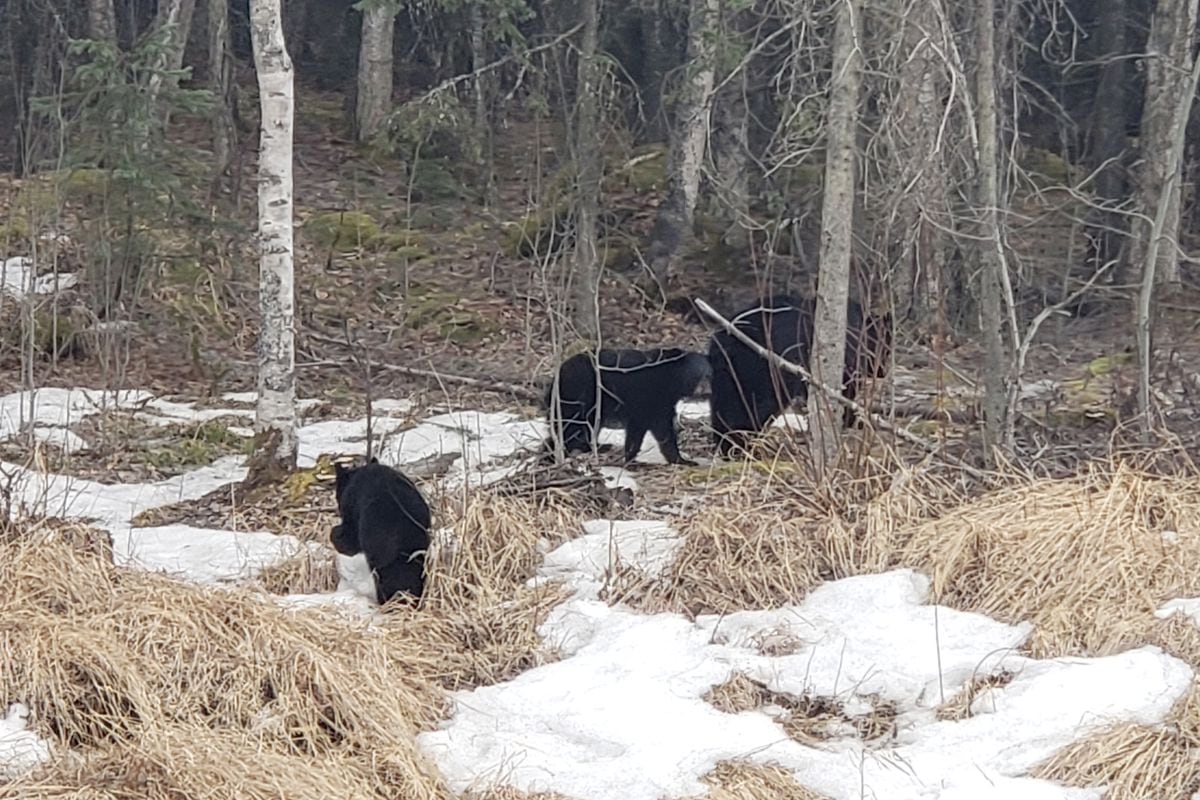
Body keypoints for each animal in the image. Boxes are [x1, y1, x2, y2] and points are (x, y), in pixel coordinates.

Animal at [544, 347, 710, 465]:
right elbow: (661, 428)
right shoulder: (653, 397)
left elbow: (640, 429)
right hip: (579, 398)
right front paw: (682, 460)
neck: (672, 379)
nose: (705, 390)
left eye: (709, 374)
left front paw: (630, 457)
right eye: (696, 374)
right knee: (571, 428)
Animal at [705, 296, 897, 455]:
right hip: (764, 373)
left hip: (729, 376)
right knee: (754, 405)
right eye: (886, 350)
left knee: (727, 405)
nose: (881, 371)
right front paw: (849, 419)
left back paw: (727, 444)